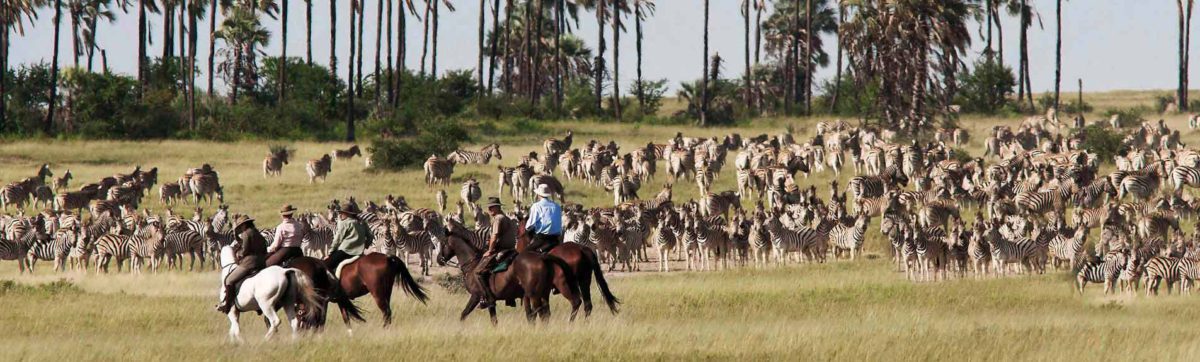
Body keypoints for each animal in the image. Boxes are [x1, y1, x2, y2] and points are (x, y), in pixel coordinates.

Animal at [436, 233, 580, 323]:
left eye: (442, 243)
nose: (438, 259)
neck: (472, 265)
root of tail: (542, 257)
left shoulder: (476, 296)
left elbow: (464, 314)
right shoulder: (490, 302)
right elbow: (494, 320)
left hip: (540, 293)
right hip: (543, 293)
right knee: (544, 313)